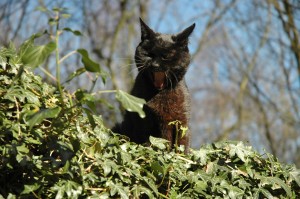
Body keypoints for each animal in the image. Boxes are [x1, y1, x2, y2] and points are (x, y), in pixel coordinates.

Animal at [113, 19, 196, 152]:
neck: (159, 93)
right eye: (149, 54)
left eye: (166, 56)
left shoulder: (182, 122)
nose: (155, 65)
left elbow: (182, 145)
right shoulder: (143, 121)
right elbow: (150, 143)